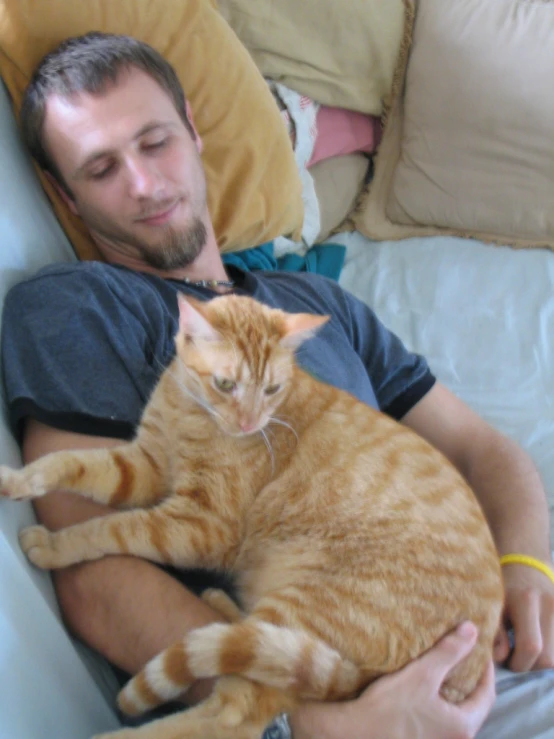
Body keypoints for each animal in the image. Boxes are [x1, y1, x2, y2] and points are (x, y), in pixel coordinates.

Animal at [0, 294, 500, 739]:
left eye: (272, 389)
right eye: (227, 385)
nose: (250, 423)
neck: (189, 409)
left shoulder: (201, 525)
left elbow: (113, 527)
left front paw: (55, 544)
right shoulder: (143, 467)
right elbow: (71, 464)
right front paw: (18, 480)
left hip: (304, 609)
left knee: (232, 714)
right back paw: (222, 608)